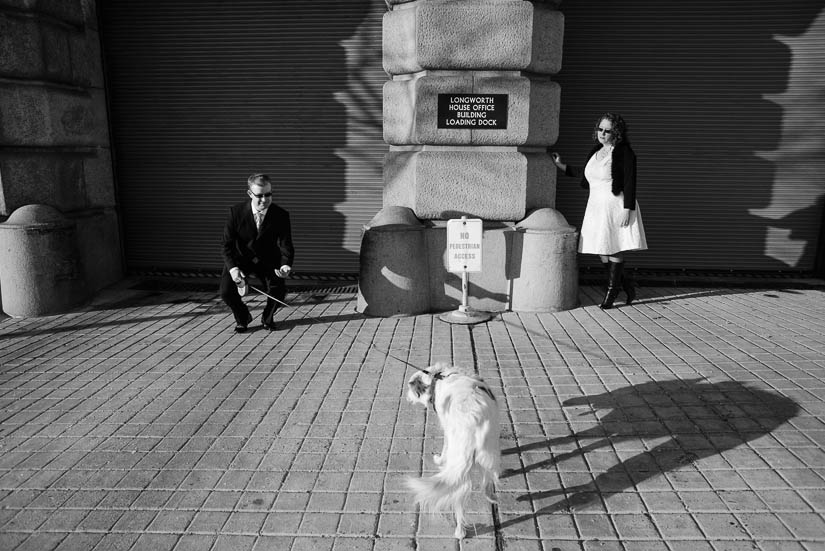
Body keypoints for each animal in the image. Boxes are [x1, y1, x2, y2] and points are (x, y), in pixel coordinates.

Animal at [404, 364, 498, 540]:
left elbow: (444, 448)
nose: (406, 399)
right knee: (486, 482)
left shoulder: (446, 428)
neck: (436, 378)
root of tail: (472, 425)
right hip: (487, 454)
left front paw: (439, 459)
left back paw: (460, 531)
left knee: (458, 501)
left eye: (410, 389)